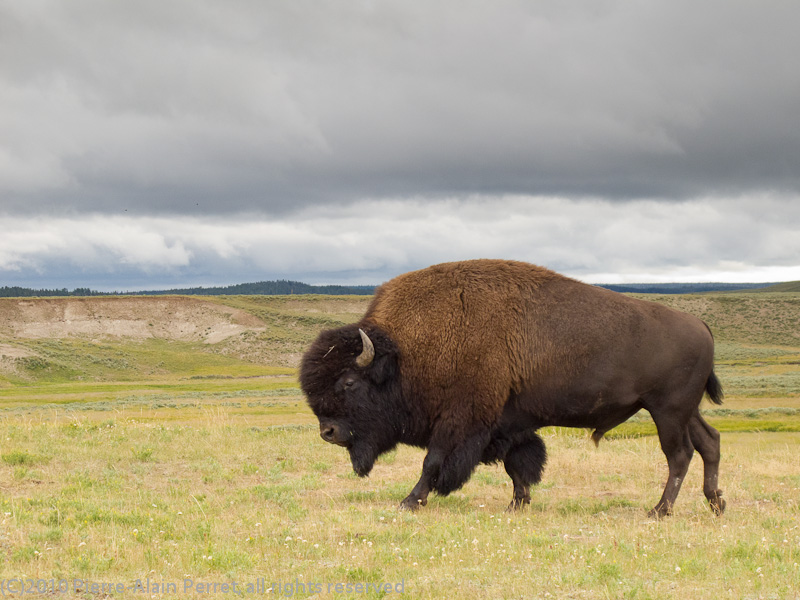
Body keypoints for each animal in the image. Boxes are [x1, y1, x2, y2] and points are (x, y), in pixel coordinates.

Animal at [298, 258, 724, 516]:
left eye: (349, 381)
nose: (328, 431)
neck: (405, 352)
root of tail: (702, 326)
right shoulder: (508, 422)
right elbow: (517, 464)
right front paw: (517, 504)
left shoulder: (460, 421)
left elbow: (432, 461)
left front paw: (410, 501)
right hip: (684, 411)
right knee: (710, 442)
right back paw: (716, 503)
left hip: (667, 411)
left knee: (680, 454)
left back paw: (659, 511)